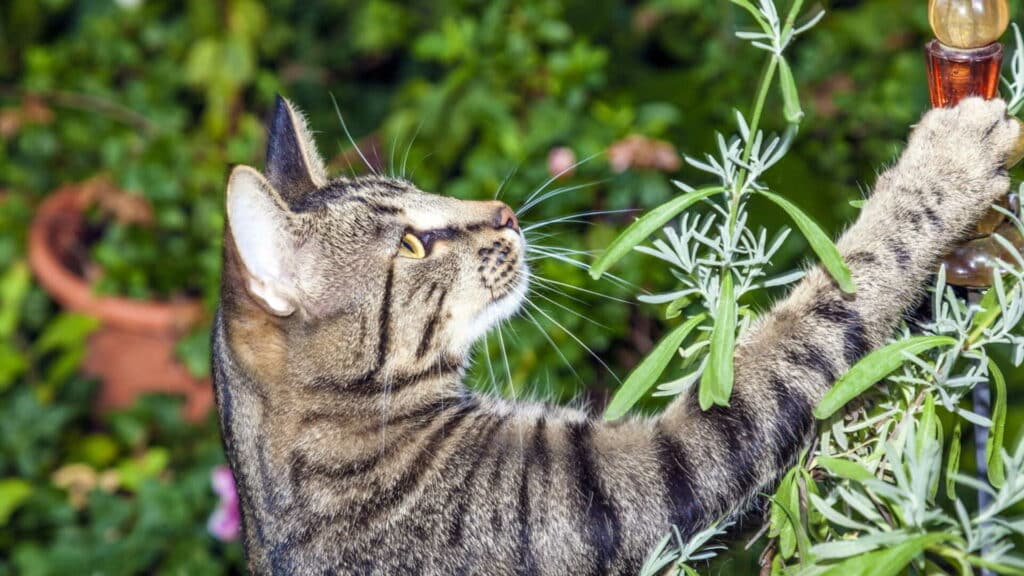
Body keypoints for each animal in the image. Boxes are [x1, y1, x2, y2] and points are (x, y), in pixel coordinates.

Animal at [211, 94, 1019, 569]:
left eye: (423, 192)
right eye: (412, 245)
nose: (505, 212)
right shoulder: (639, 477)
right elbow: (828, 309)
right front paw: (943, 166)